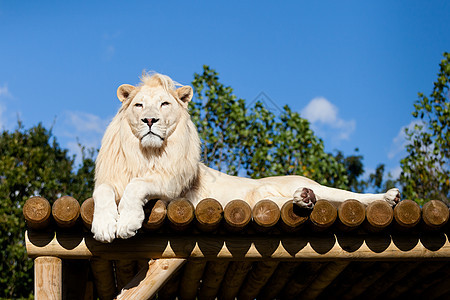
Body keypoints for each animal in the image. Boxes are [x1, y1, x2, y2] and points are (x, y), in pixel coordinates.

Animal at [91, 73, 400, 244]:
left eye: (165, 104)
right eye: (139, 105)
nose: (149, 120)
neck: (147, 153)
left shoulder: (172, 186)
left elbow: (136, 186)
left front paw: (127, 223)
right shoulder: (112, 180)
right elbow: (102, 193)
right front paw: (105, 226)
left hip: (318, 189)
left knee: (349, 197)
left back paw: (389, 197)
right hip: (261, 199)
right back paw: (304, 199)